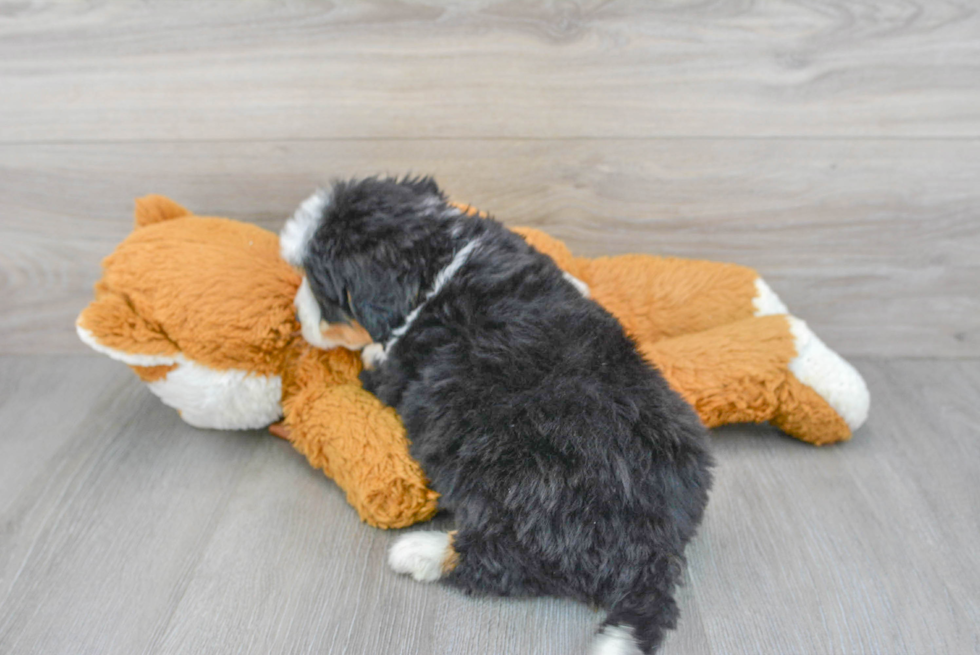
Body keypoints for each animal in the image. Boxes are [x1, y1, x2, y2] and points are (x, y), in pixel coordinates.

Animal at [282, 176, 712, 655]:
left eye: (320, 287)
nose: (295, 315)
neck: (440, 263)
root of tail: (657, 548)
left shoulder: (400, 371)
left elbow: (379, 359)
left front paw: (369, 349)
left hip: (525, 481)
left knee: (511, 562)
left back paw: (419, 553)